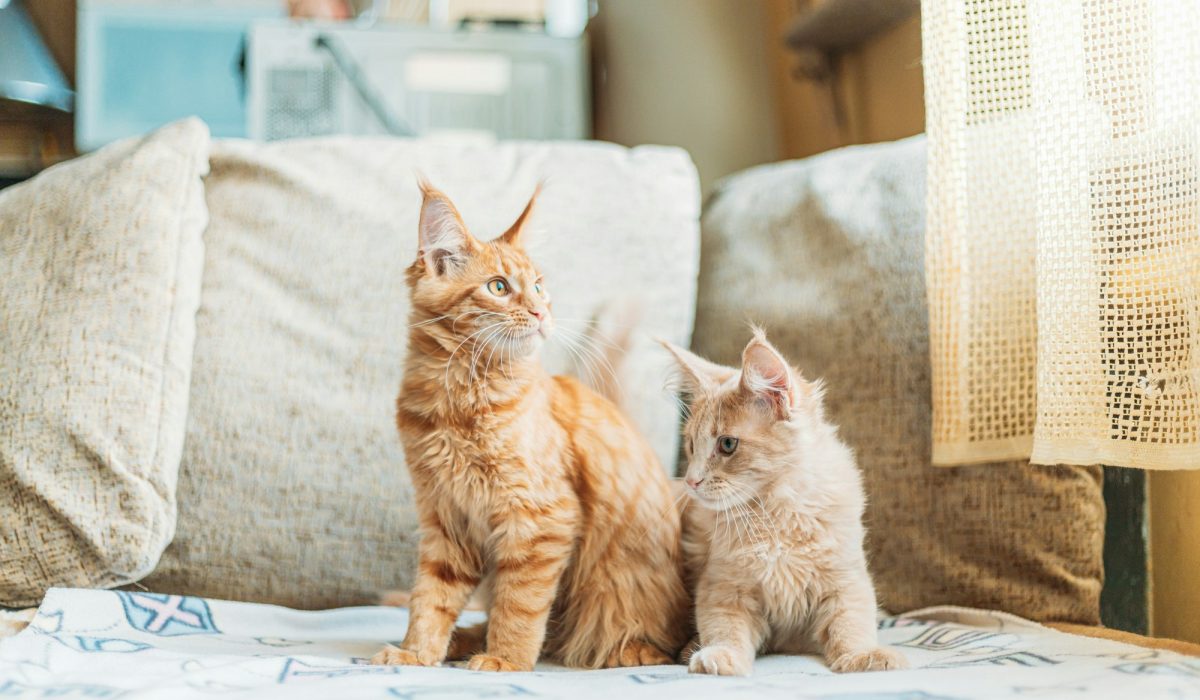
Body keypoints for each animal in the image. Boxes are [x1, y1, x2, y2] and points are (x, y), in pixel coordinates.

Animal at [369, 182, 691, 672]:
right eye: (499, 287)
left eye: (539, 287)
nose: (541, 313)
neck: (460, 404)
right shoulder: (447, 518)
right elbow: (431, 598)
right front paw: (417, 653)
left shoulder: (542, 518)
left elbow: (519, 605)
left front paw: (506, 660)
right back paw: (464, 641)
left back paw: (630, 650)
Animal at [662, 331, 902, 677]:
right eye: (692, 446)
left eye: (727, 444)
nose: (691, 482)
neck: (776, 513)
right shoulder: (723, 587)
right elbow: (724, 628)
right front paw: (719, 655)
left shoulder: (845, 578)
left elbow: (851, 622)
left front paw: (863, 655)